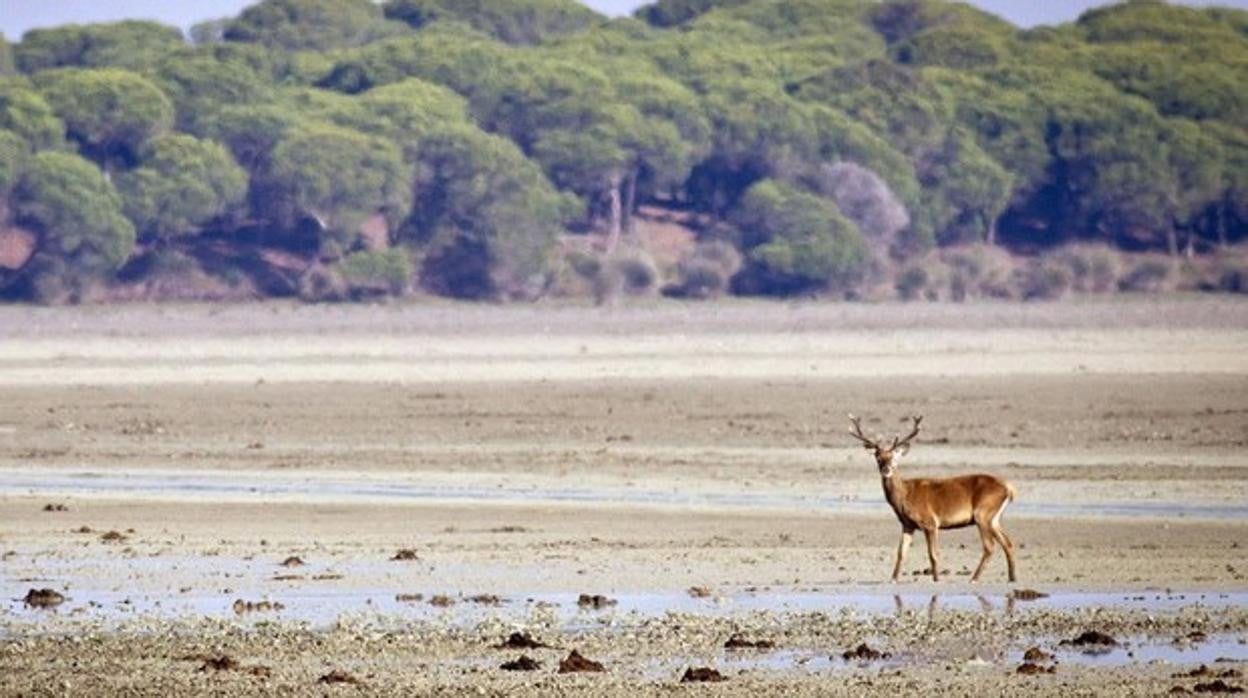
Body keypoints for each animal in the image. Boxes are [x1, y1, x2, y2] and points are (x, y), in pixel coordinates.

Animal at [848, 414, 1013, 584]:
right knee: (1008, 543)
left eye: (894, 458)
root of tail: (1009, 489)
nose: (886, 470)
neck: (905, 496)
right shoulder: (907, 524)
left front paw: (936, 579)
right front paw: (893, 579)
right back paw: (1012, 578)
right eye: (878, 458)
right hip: (994, 518)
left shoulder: (930, 523)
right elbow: (901, 553)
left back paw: (974, 579)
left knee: (990, 546)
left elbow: (933, 554)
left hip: (983, 514)